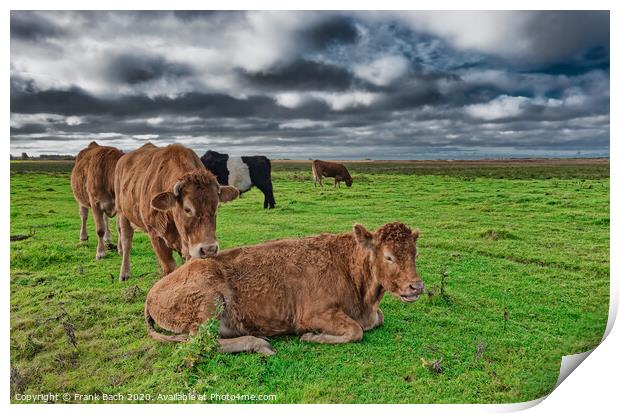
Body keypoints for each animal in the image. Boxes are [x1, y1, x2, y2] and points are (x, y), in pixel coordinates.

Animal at [112, 142, 239, 282]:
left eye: (216, 207)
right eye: (187, 209)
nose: (209, 249)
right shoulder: (155, 234)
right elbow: (170, 268)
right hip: (122, 212)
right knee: (126, 241)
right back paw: (124, 272)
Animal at [143, 222, 424, 354]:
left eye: (415, 252)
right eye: (388, 256)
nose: (416, 286)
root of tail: (151, 294)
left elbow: (377, 319)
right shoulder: (313, 314)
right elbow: (356, 331)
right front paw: (311, 337)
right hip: (209, 303)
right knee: (202, 343)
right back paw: (260, 343)